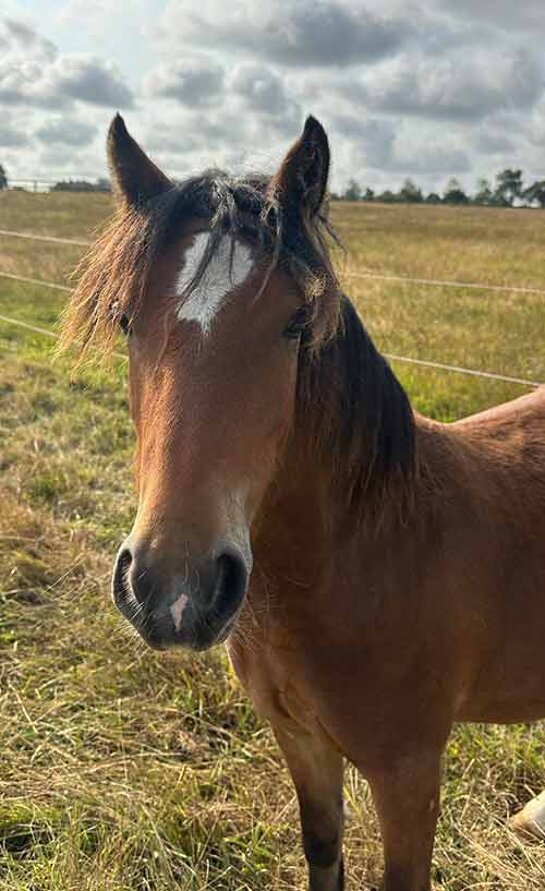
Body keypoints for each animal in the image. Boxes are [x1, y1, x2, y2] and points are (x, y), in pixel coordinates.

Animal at [59, 115, 544, 888]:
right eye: (126, 319)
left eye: (293, 324)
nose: (175, 590)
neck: (367, 555)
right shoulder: (301, 741)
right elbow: (323, 851)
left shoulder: (409, 773)